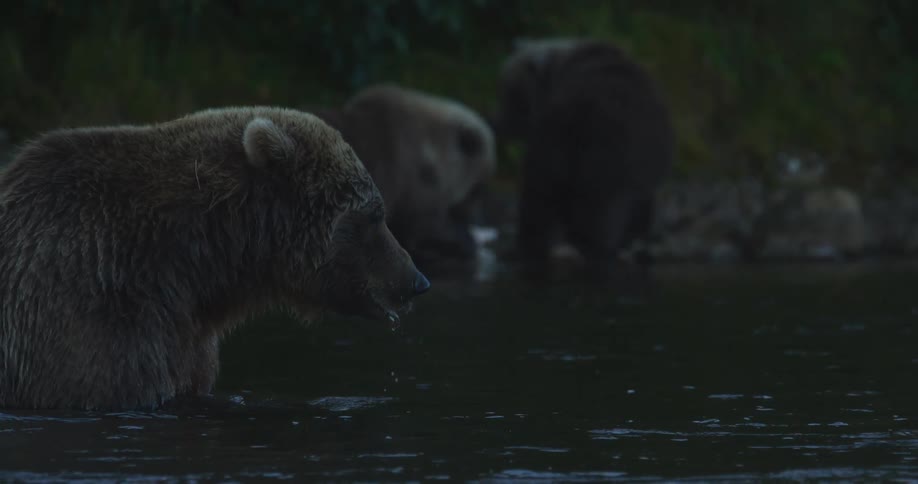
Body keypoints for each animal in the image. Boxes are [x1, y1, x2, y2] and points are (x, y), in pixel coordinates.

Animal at [494, 38, 675, 280]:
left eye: (509, 92)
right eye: (503, 89)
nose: (496, 122)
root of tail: (581, 109)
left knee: (542, 195)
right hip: (601, 152)